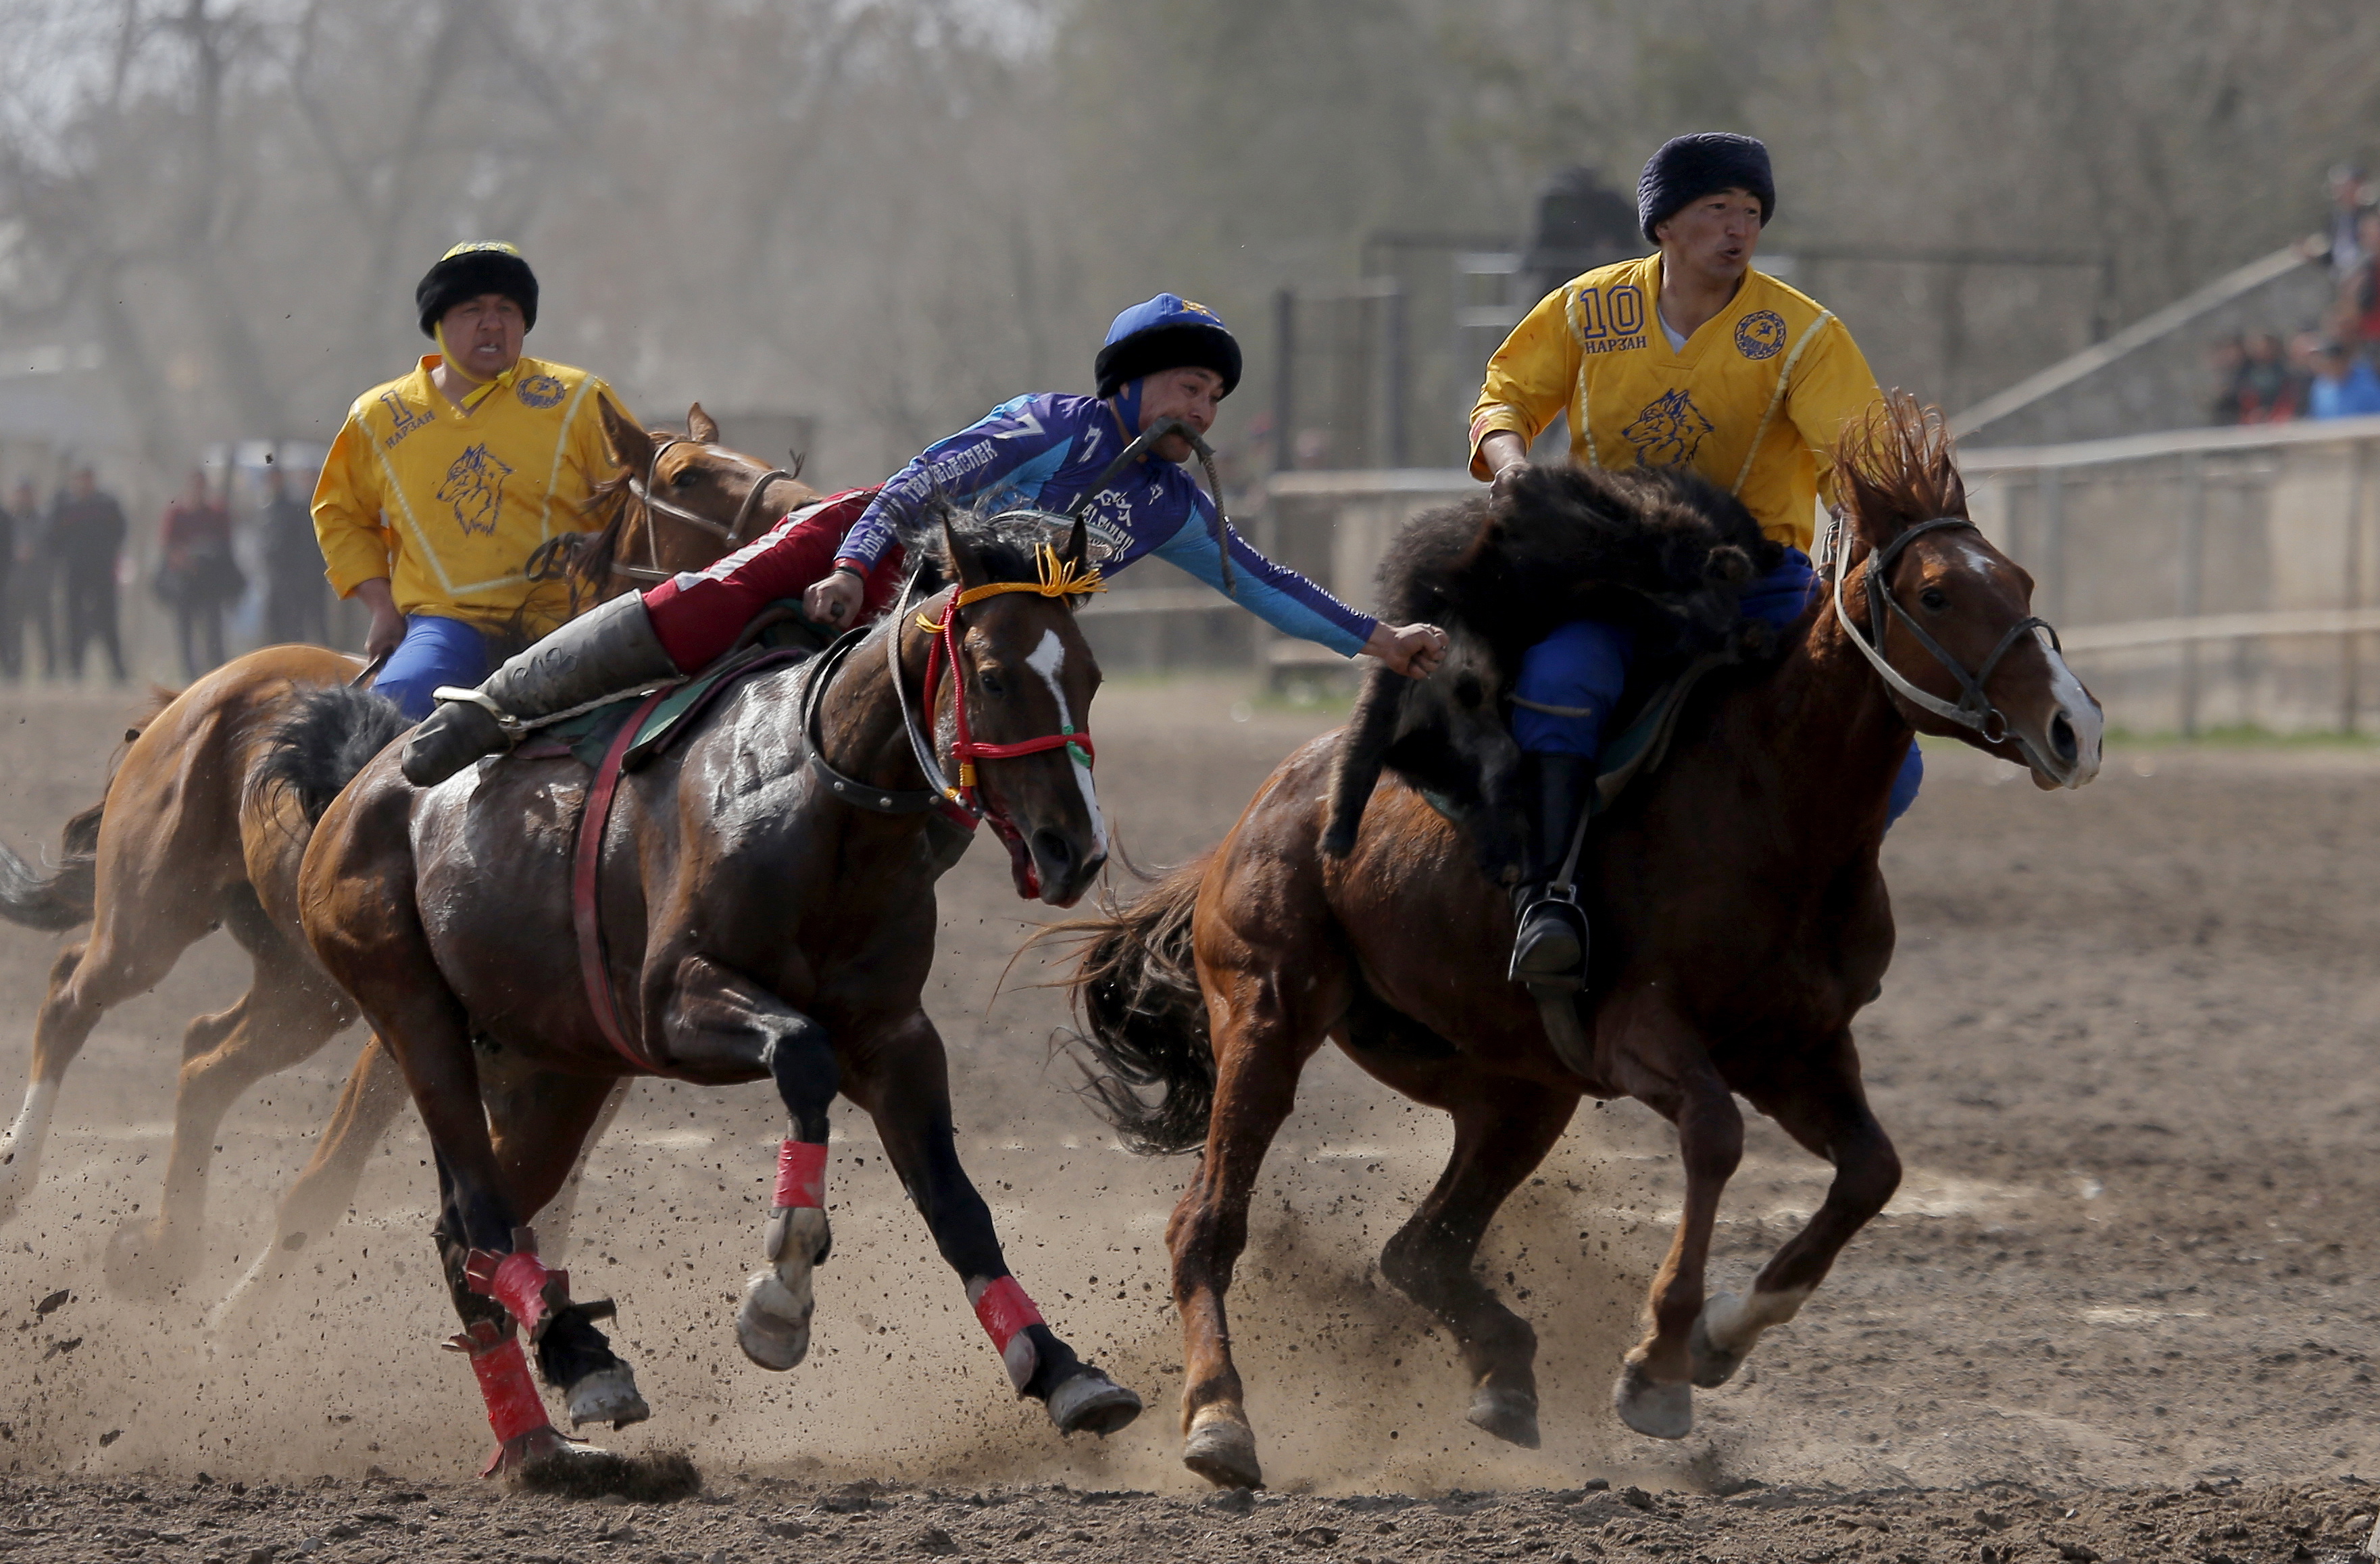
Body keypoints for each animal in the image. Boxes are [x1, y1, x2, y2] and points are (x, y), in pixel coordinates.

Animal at [0, 402, 814, 1304]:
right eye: (689, 476)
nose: (813, 508)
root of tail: (201, 691)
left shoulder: (587, 1068)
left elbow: (544, 1209)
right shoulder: (402, 1035)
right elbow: (323, 1187)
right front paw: (231, 1328)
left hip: (300, 988)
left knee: (204, 1056)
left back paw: (164, 1250)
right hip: (154, 914)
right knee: (71, 990)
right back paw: (20, 1172)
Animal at [272, 497, 1142, 1466]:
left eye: (1091, 677)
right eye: (991, 677)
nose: (1075, 849)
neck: (822, 808)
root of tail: (359, 788)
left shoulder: (895, 1033)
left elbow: (956, 1202)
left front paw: (1061, 1368)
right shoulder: (671, 1004)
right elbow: (803, 1057)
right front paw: (782, 1290)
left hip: (557, 1067)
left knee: (465, 1227)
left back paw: (551, 1419)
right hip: (413, 1010)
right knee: (478, 1207)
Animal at [1051, 393, 2113, 1485]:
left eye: (2022, 580)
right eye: (1938, 593)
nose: (2074, 729)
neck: (1771, 803)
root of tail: (1248, 823)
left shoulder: (1795, 1046)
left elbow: (1871, 1171)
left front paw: (1723, 1335)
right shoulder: (1641, 1034)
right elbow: (1715, 1135)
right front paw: (1659, 1363)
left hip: (1516, 1089)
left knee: (1421, 1248)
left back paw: (1505, 1375)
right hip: (1268, 1019)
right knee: (1207, 1225)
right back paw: (1220, 1417)